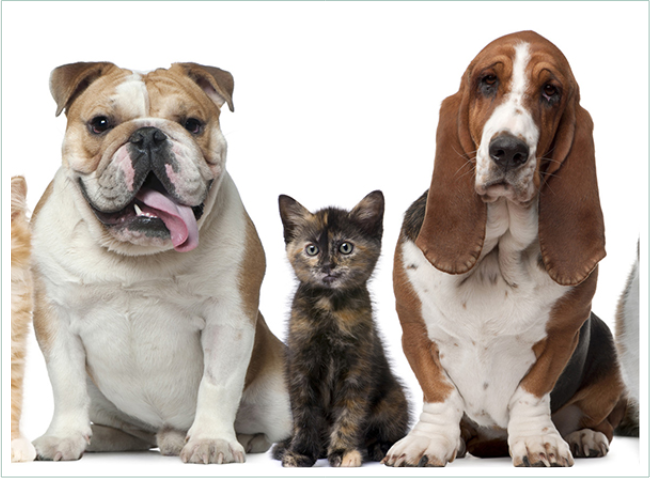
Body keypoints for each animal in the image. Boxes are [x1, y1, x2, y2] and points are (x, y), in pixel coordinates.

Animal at [31, 62, 292, 464]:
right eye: (101, 124)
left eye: (192, 124)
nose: (149, 135)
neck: (136, 254)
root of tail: (165, 430)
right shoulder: (54, 315)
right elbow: (66, 382)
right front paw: (64, 438)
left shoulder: (229, 318)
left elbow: (218, 383)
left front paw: (212, 441)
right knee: (130, 432)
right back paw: (103, 436)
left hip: (282, 401)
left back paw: (244, 438)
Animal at [274, 190, 408, 466]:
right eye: (312, 249)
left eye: (345, 247)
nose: (327, 265)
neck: (330, 309)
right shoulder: (300, 366)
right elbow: (304, 413)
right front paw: (301, 450)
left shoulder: (357, 368)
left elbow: (350, 412)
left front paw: (344, 451)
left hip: (395, 398)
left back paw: (378, 447)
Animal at [382, 31, 624, 468]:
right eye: (488, 81)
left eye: (551, 91)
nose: (509, 150)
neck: (497, 256)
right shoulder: (415, 329)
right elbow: (440, 394)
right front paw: (427, 443)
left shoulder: (562, 335)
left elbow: (531, 393)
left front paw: (538, 443)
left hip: (606, 371)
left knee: (604, 421)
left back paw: (585, 436)